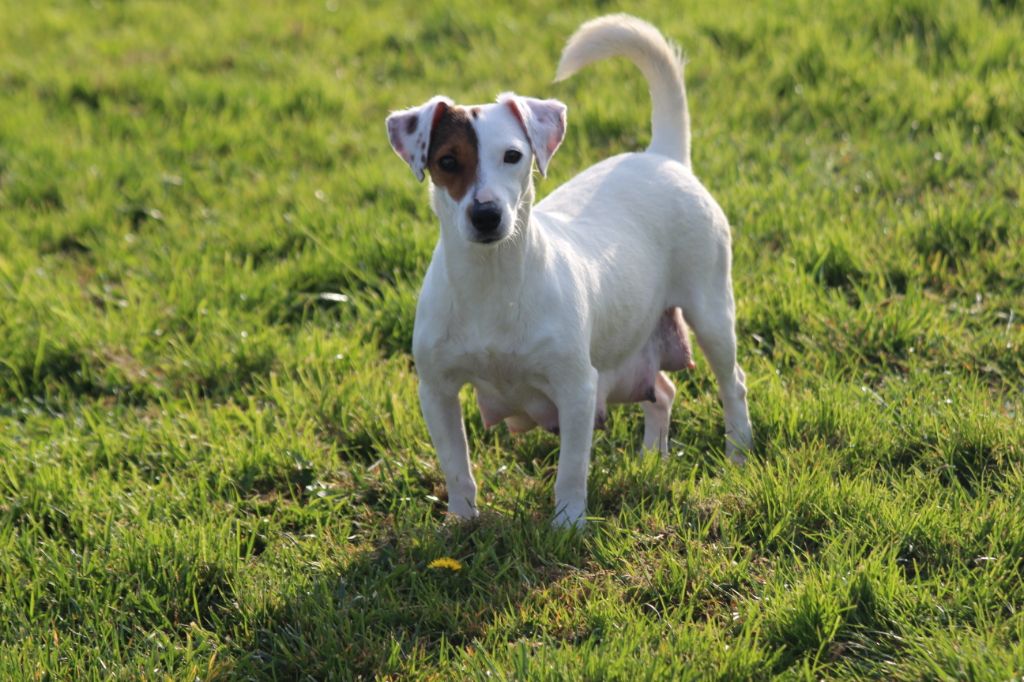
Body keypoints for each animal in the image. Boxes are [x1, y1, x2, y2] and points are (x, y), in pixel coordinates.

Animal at [385, 15, 753, 524]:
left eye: (513, 156)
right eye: (447, 162)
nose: (486, 215)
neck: (493, 283)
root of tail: (662, 155)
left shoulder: (577, 388)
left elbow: (572, 468)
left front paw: (568, 524)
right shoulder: (436, 391)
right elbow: (457, 466)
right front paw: (461, 522)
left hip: (712, 310)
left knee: (732, 384)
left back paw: (738, 453)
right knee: (661, 390)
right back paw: (650, 459)